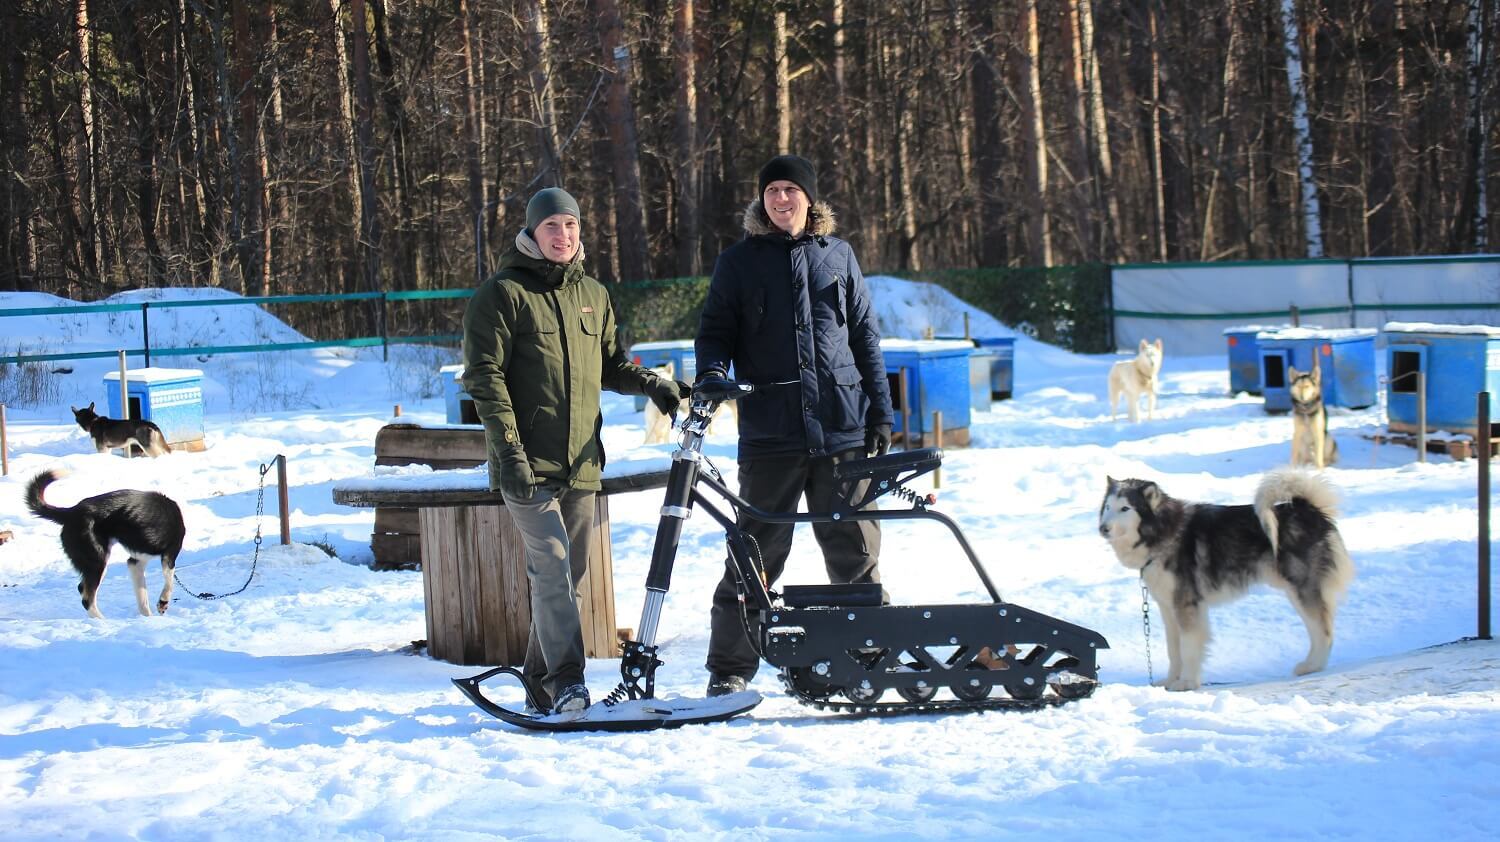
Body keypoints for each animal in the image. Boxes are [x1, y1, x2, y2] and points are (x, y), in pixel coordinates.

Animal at [23, 465, 184, 618]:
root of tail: (72, 512)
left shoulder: (136, 562)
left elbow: (142, 598)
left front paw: (148, 619)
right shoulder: (169, 555)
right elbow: (169, 582)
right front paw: (163, 603)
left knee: (83, 591)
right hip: (98, 562)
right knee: (87, 598)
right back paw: (103, 621)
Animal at [1098, 465, 1356, 690]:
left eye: (1125, 509)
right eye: (1108, 506)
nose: (1102, 528)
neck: (1162, 531)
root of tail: (1309, 509)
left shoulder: (1187, 606)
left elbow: (1188, 648)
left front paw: (1187, 683)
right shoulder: (1168, 608)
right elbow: (1174, 649)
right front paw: (1170, 681)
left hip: (1302, 589)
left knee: (1324, 631)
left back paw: (1313, 666)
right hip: (1295, 592)